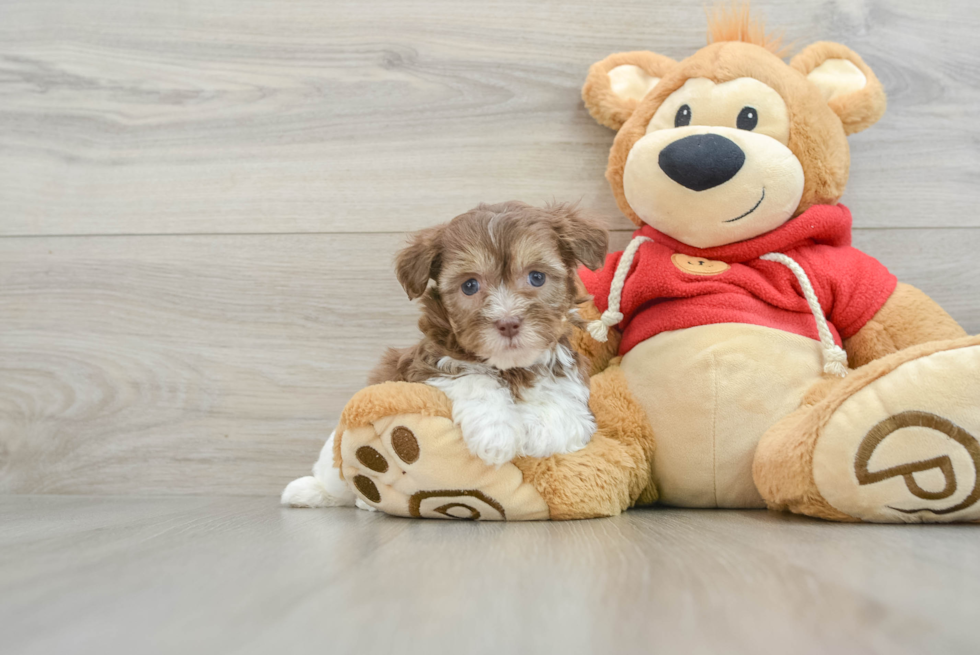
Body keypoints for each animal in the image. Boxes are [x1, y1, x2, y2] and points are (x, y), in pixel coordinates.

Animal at [372, 201, 608, 466]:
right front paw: (496, 433)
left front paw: (541, 430)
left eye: (537, 277)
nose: (508, 323)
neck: (511, 367)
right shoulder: (426, 362)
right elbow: (470, 376)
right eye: (469, 285)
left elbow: (561, 399)